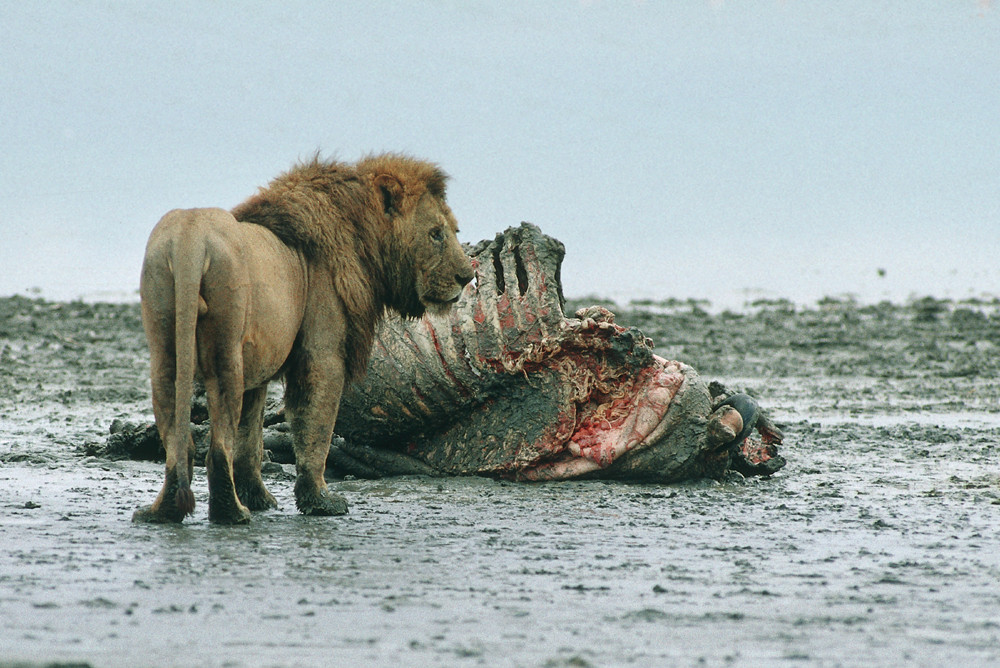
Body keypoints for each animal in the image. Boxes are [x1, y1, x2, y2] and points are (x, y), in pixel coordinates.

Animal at [134, 154, 476, 524]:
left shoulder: (259, 366)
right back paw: (231, 512)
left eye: (453, 231)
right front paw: (321, 501)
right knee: (218, 447)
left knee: (178, 437)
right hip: (225, 351)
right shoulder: (321, 354)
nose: (467, 275)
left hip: (165, 340)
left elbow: (250, 439)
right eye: (436, 234)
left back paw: (162, 510)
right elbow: (315, 426)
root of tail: (190, 238)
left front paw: (260, 497)